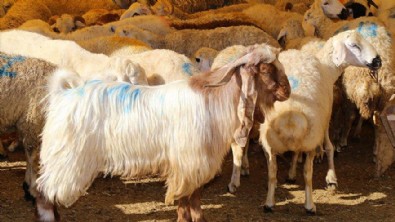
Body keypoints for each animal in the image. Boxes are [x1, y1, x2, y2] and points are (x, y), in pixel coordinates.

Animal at [35, 44, 292, 222]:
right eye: (265, 69)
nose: (287, 91)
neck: (215, 98)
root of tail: (63, 94)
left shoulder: (194, 164)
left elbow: (193, 200)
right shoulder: (189, 162)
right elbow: (186, 201)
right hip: (67, 158)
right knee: (44, 192)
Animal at [260, 30, 380, 214]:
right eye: (354, 45)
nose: (378, 61)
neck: (327, 67)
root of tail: (290, 116)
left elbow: (295, 153)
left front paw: (291, 173)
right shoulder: (325, 117)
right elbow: (329, 147)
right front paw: (331, 178)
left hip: (269, 144)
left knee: (272, 173)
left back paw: (269, 203)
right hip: (310, 137)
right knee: (307, 174)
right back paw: (310, 205)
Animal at [304, 1, 394, 177]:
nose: (345, 11)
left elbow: (342, 116)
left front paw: (338, 137)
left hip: (353, 84)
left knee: (353, 116)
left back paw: (343, 140)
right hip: (384, 94)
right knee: (377, 122)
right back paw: (375, 151)